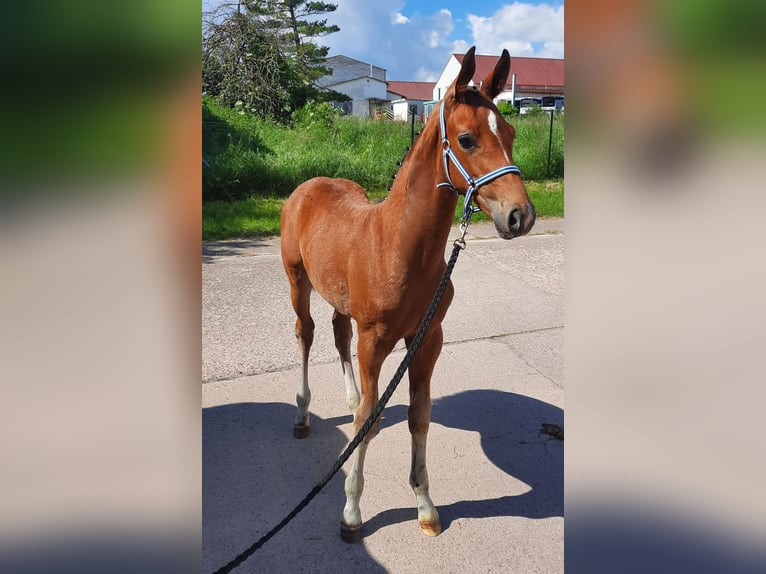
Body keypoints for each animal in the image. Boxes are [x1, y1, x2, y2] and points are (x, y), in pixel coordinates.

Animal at [279, 46, 536, 542]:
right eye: (466, 139)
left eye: (510, 133)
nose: (521, 216)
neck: (399, 247)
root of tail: (311, 184)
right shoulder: (375, 340)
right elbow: (368, 418)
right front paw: (351, 513)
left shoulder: (427, 339)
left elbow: (418, 415)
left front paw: (425, 506)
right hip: (297, 280)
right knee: (306, 333)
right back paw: (301, 415)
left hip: (341, 302)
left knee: (338, 335)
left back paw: (348, 398)